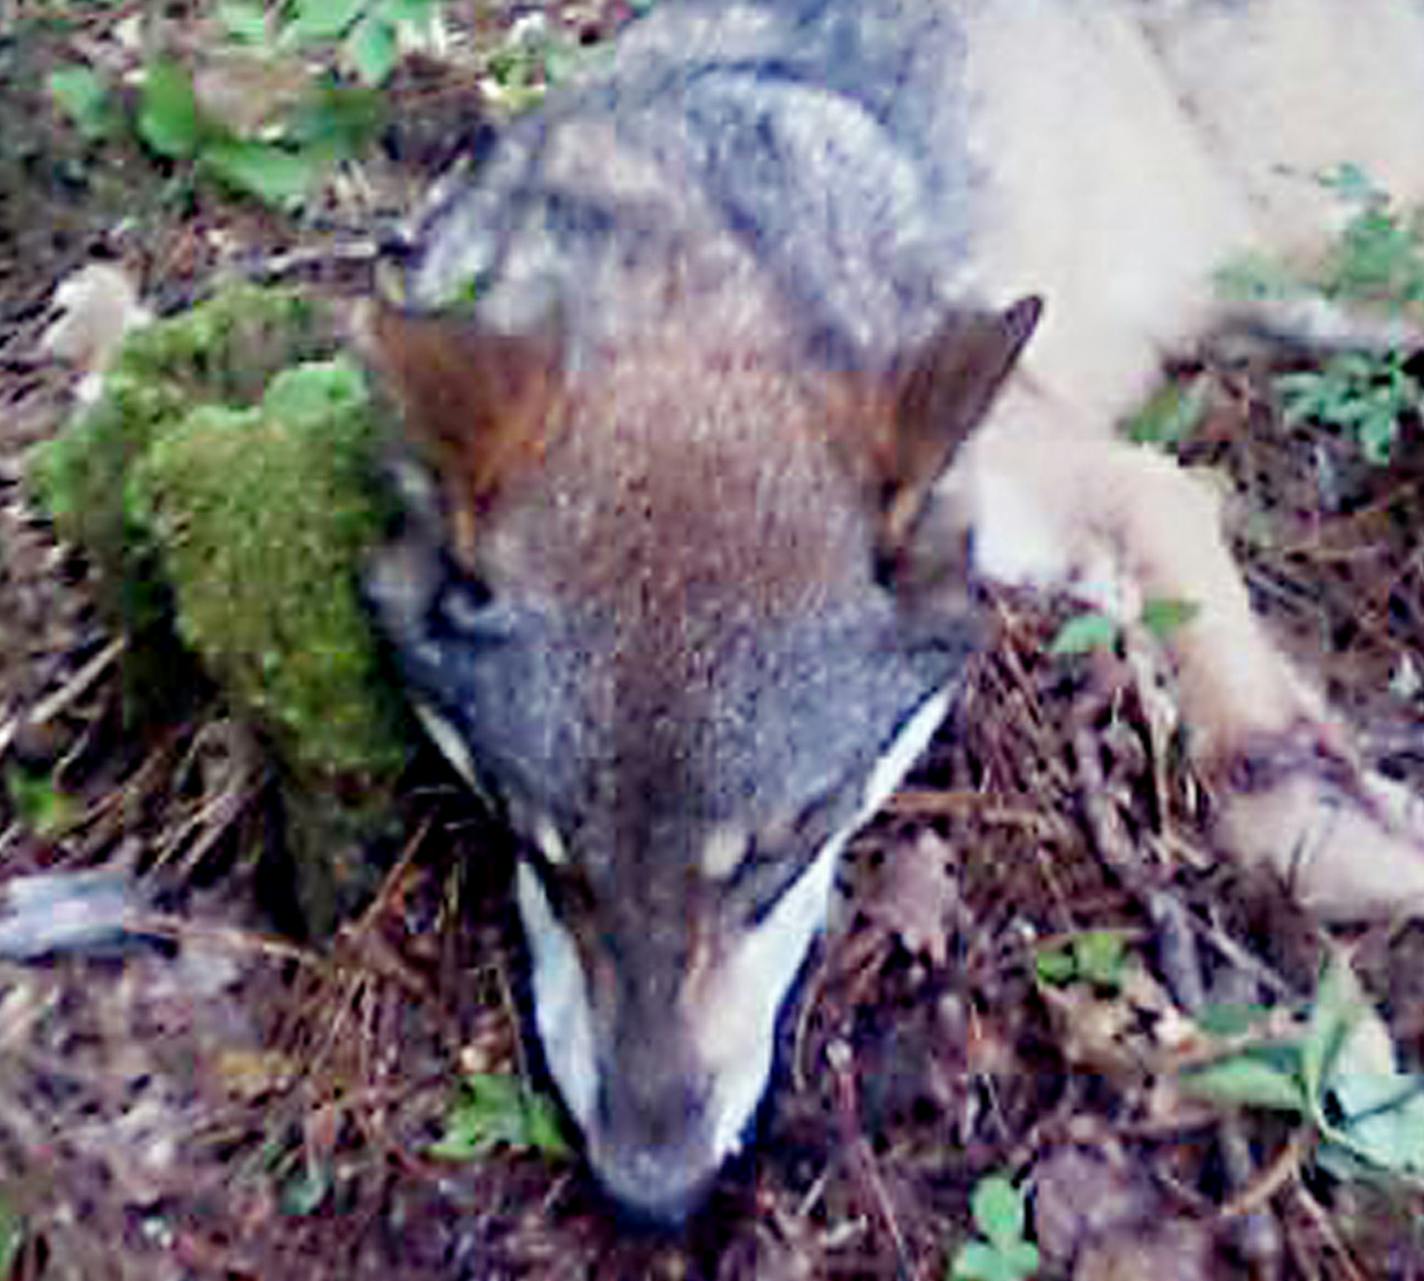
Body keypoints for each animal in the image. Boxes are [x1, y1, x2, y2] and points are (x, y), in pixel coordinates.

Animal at [358, 0, 1424, 1218]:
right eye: (547, 856)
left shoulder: (1085, 470)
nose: (653, 1194)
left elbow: (1241, 723)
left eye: (783, 847)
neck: (695, 274)